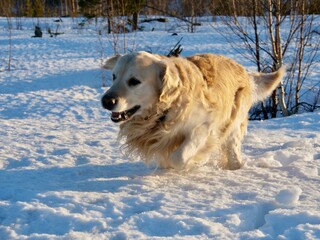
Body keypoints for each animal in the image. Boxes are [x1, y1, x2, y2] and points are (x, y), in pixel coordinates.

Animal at [100, 51, 284, 170]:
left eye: (134, 81)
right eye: (114, 76)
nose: (106, 101)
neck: (166, 109)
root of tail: (244, 71)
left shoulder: (205, 126)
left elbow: (178, 157)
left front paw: (192, 162)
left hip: (233, 123)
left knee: (232, 148)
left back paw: (235, 167)